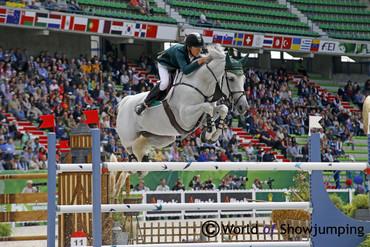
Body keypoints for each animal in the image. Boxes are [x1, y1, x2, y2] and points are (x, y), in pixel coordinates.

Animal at [115, 44, 249, 176]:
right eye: (231, 78)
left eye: (244, 78)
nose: (243, 107)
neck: (201, 85)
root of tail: (125, 102)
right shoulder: (186, 117)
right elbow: (207, 107)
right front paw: (208, 134)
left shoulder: (200, 118)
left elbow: (222, 109)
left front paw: (211, 136)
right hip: (128, 135)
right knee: (129, 146)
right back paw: (133, 164)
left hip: (164, 137)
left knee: (143, 142)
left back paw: (144, 161)